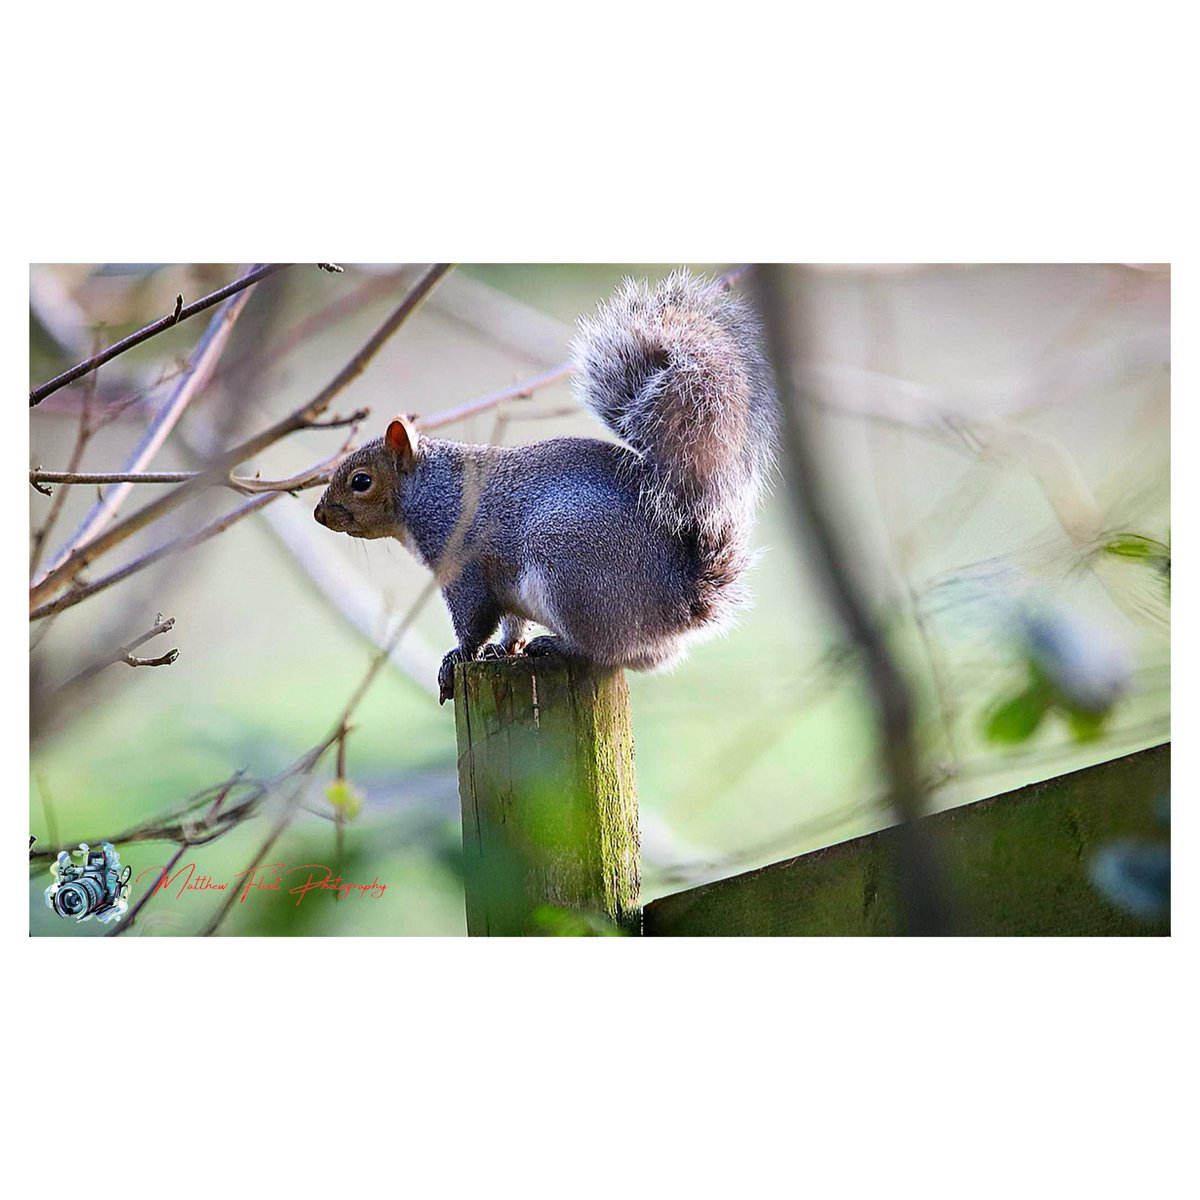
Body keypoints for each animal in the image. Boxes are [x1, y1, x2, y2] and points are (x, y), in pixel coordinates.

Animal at [312, 270, 777, 700]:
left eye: (361, 481)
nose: (319, 514)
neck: (431, 489)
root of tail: (680, 598)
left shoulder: (462, 562)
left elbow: (472, 620)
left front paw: (457, 657)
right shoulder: (502, 586)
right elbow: (510, 621)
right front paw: (503, 649)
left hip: (569, 569)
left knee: (611, 651)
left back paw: (560, 645)